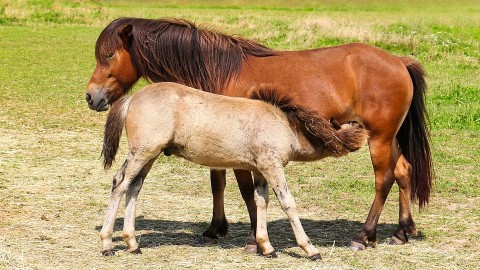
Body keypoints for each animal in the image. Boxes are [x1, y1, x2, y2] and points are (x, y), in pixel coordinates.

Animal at [99, 82, 366, 260]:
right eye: (349, 126)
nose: (363, 128)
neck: (284, 125)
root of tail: (132, 98)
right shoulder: (272, 166)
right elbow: (287, 202)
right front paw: (310, 248)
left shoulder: (260, 170)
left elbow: (261, 202)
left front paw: (266, 246)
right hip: (142, 153)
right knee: (119, 184)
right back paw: (107, 244)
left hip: (149, 156)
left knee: (133, 187)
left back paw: (132, 243)